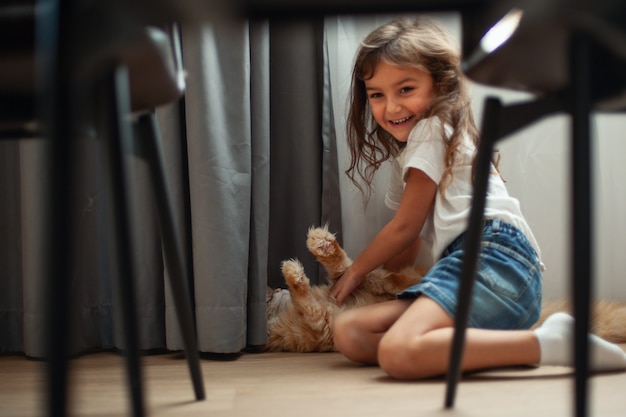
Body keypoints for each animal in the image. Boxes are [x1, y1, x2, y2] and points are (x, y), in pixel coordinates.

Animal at [266, 224, 624, 352]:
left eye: (268, 292)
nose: (273, 290)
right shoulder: (320, 323)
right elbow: (307, 295)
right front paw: (294, 273)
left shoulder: (350, 284)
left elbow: (345, 268)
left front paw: (322, 245)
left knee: (392, 278)